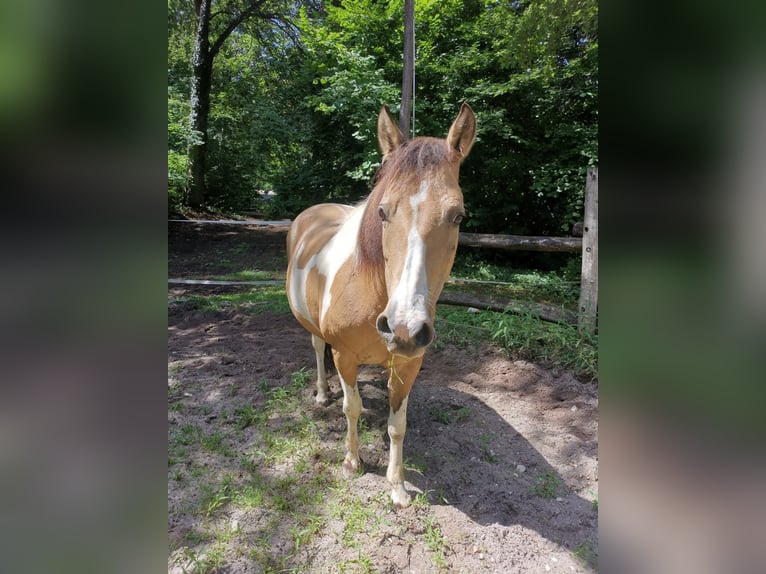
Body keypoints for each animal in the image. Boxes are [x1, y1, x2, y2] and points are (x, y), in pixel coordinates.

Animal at [286, 103, 476, 508]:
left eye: (458, 216)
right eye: (383, 212)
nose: (403, 328)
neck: (372, 288)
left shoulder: (408, 362)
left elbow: (397, 425)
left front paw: (397, 486)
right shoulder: (343, 355)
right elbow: (352, 407)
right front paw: (351, 462)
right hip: (314, 331)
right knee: (317, 349)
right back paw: (323, 394)